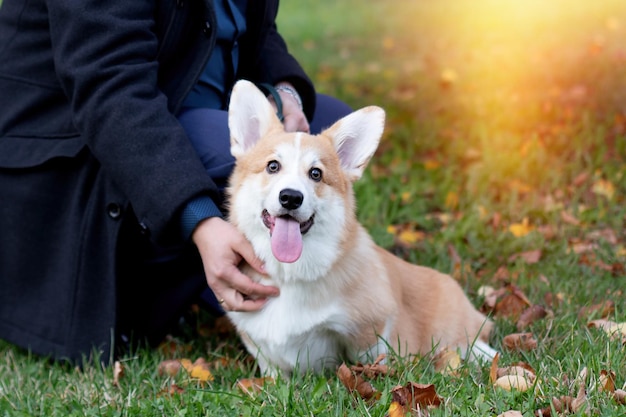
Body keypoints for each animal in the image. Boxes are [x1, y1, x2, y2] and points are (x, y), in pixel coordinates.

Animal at [224, 79, 492, 376]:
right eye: (273, 166)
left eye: (316, 173)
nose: (291, 197)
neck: (288, 276)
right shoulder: (259, 343)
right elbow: (271, 369)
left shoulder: (373, 325)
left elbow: (368, 358)